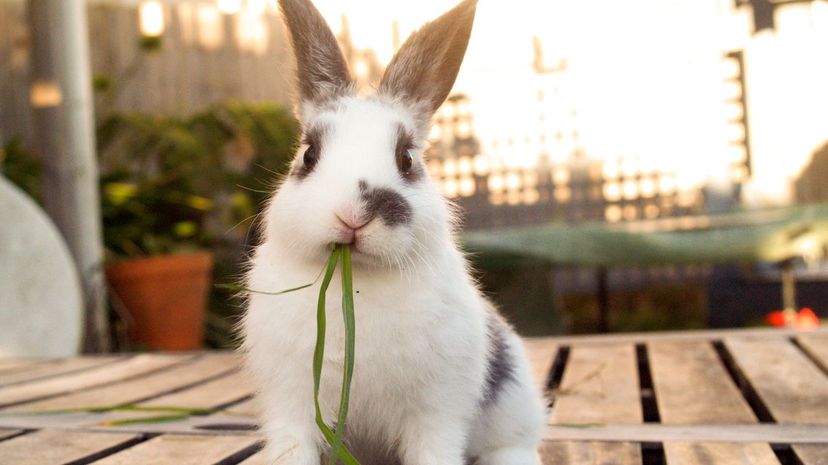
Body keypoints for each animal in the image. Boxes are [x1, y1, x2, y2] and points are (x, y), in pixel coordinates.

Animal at [243, 0, 548, 464]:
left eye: (406, 159)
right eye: (309, 155)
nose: (353, 214)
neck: (355, 282)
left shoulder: (438, 412)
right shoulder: (289, 405)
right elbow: (292, 447)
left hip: (514, 406)